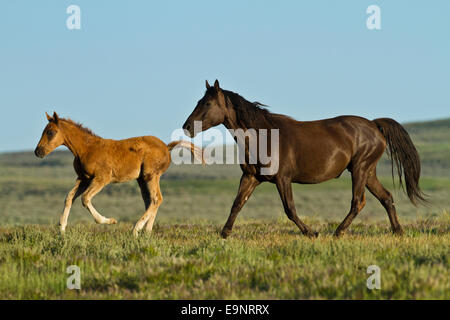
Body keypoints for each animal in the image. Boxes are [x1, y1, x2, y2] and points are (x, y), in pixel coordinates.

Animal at [35, 112, 204, 235]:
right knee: (151, 200)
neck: (86, 149)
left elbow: (85, 198)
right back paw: (146, 232)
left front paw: (110, 221)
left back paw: (136, 229)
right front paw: (62, 230)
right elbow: (69, 197)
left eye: (51, 132)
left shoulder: (102, 178)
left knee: (156, 199)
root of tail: (166, 147)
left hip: (151, 175)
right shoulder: (83, 178)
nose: (38, 152)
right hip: (142, 180)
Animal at [182, 80, 426, 238]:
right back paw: (398, 231)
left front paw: (311, 232)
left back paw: (338, 232)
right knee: (386, 197)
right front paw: (224, 233)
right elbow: (237, 204)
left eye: (207, 104)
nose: (187, 127)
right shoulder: (251, 177)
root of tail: (375, 125)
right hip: (368, 172)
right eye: (199, 101)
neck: (264, 136)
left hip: (360, 169)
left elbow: (290, 209)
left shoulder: (283, 178)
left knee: (358, 202)